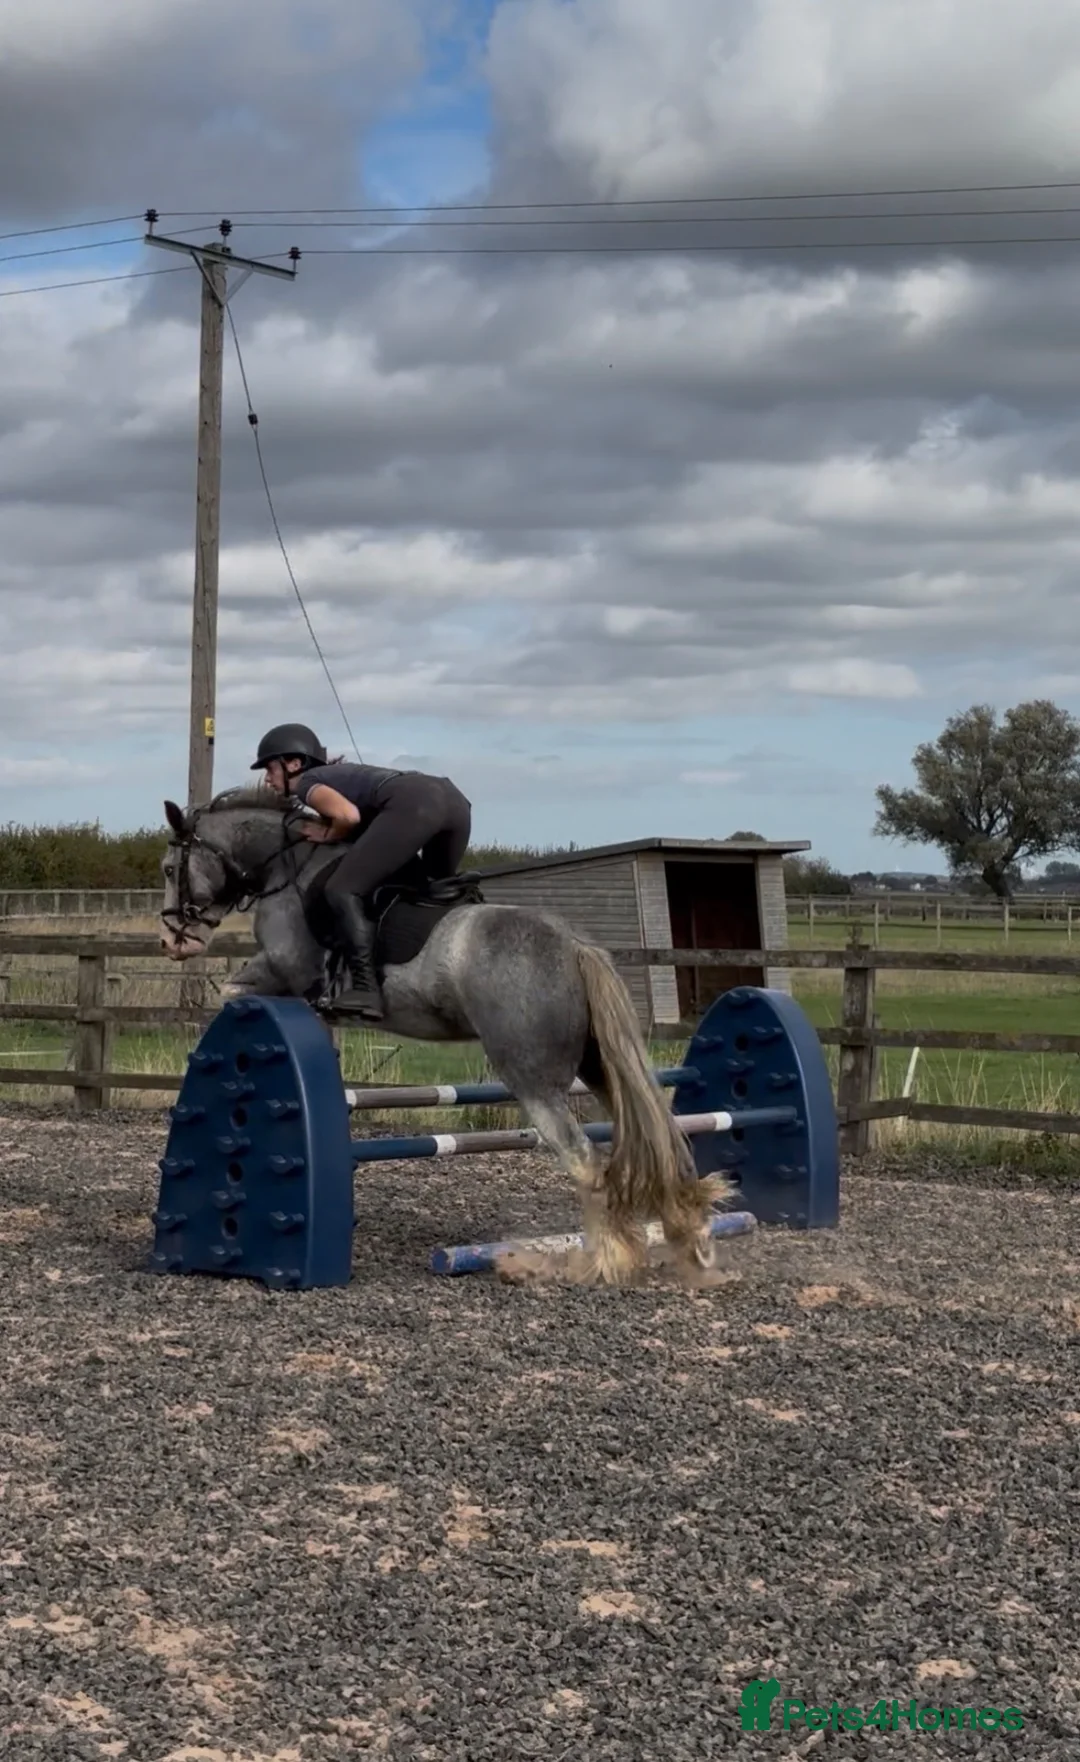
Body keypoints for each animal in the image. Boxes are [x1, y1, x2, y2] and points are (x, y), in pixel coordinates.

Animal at [158, 787, 729, 1287]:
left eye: (169, 869)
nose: (173, 940)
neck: (287, 864)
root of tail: (573, 945)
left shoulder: (282, 971)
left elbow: (230, 993)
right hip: (598, 1069)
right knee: (664, 1137)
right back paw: (694, 1245)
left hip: (533, 1079)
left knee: (585, 1161)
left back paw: (603, 1262)